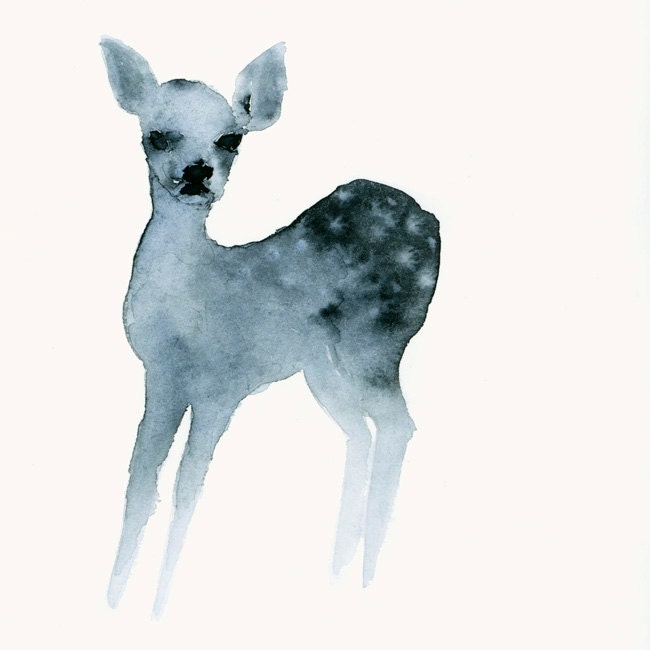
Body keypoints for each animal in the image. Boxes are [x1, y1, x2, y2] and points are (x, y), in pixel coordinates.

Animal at [100, 37, 440, 616]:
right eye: (157, 133)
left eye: (230, 138)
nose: (197, 172)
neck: (193, 301)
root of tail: (430, 220)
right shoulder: (161, 378)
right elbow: (140, 483)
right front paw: (114, 597)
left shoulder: (222, 383)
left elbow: (188, 485)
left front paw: (159, 605)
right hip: (321, 368)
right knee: (360, 432)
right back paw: (337, 573)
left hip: (377, 342)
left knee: (398, 425)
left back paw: (365, 577)